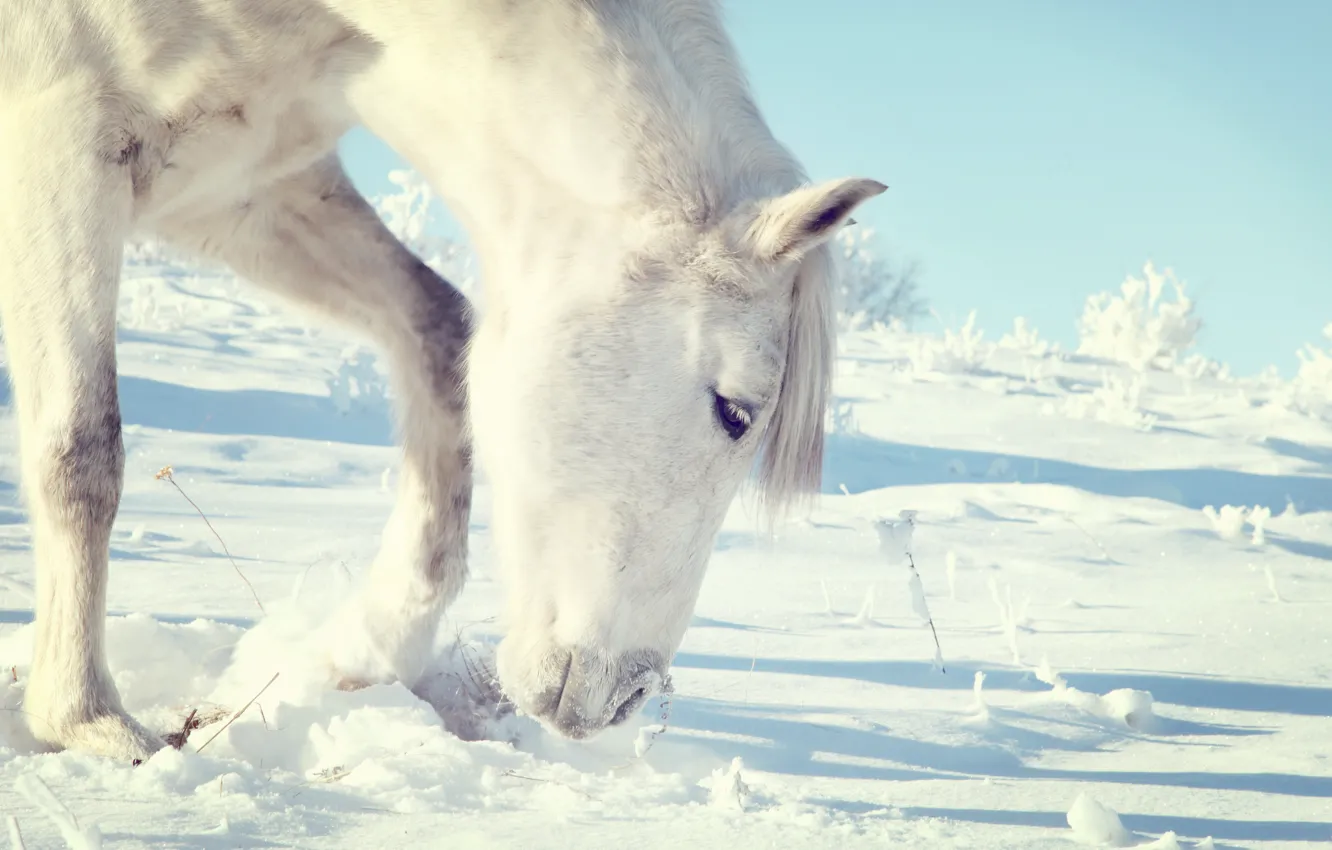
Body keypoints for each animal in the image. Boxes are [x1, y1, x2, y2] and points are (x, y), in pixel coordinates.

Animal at [0, 0, 885, 761]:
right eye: (734, 411)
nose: (626, 698)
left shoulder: (240, 187)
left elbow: (438, 332)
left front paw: (367, 651)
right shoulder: (61, 142)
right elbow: (81, 452)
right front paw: (87, 720)